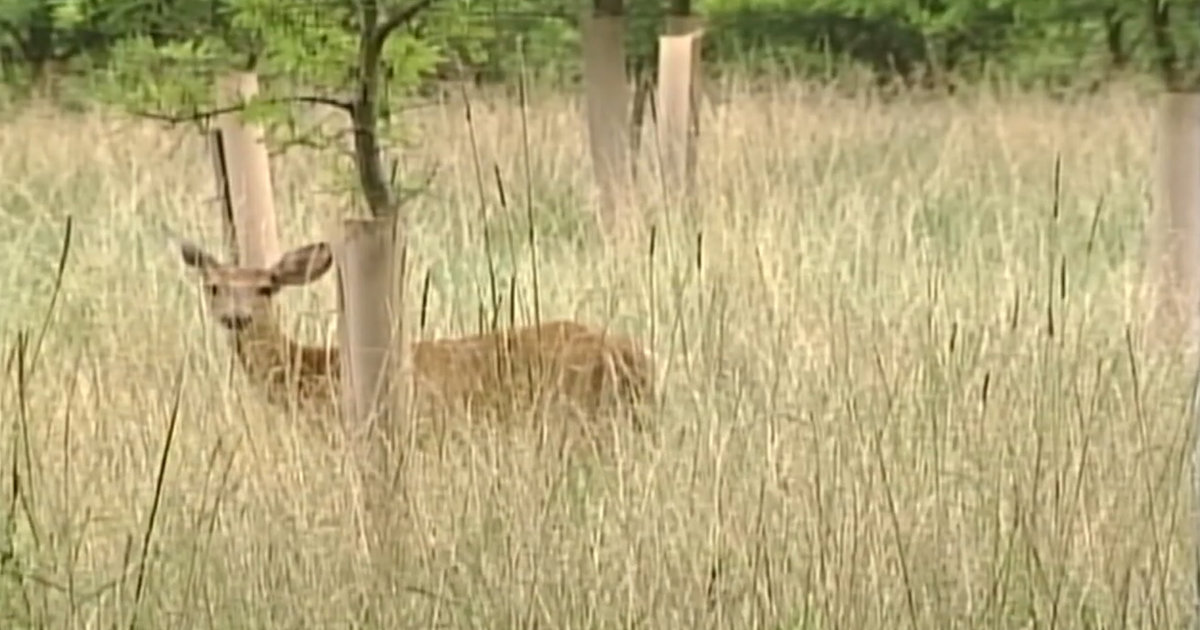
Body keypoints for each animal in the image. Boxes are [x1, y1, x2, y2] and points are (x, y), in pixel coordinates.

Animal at [174, 237, 656, 450]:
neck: (308, 372)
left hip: (573, 416)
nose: (237, 318)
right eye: (214, 287)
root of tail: (632, 354)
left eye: (266, 287)